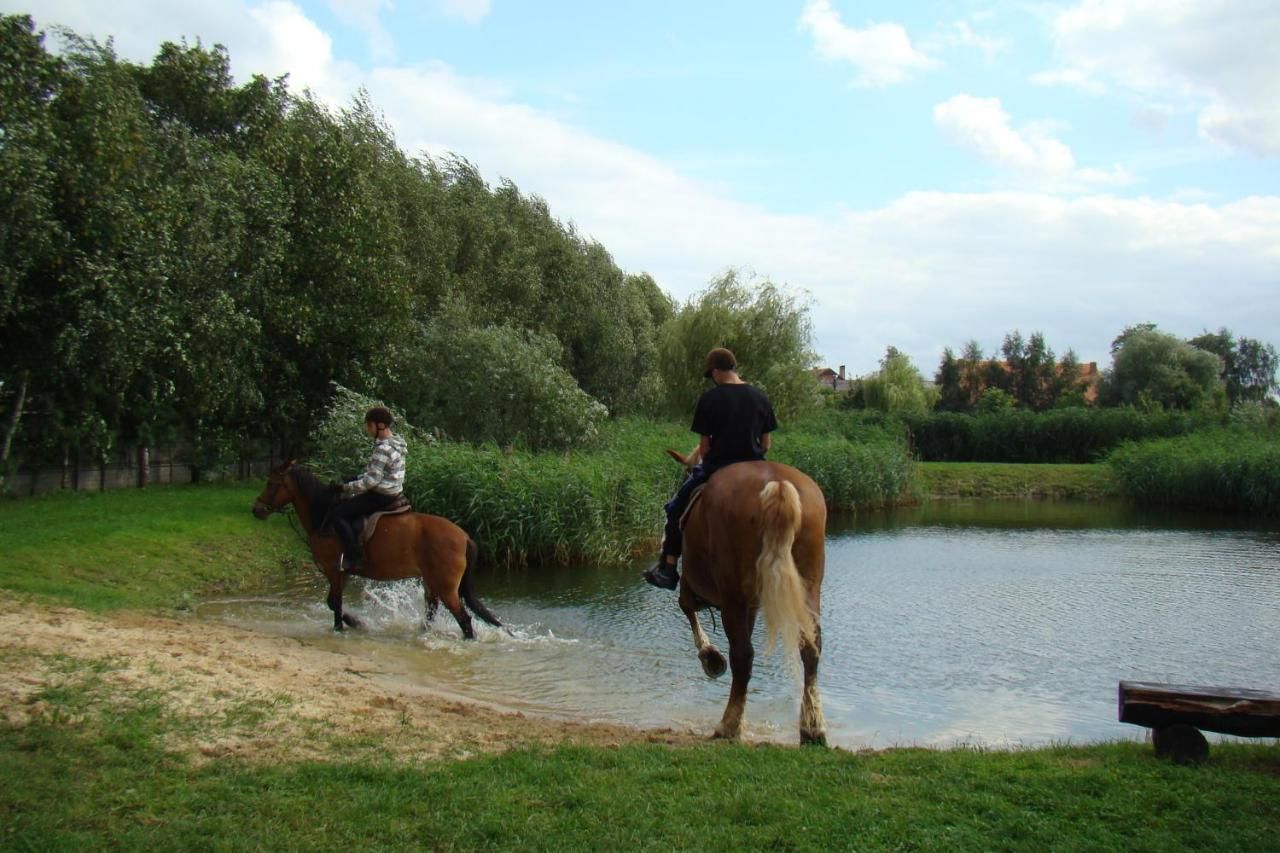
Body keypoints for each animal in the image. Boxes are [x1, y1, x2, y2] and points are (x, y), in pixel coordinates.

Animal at [252, 461, 501, 635]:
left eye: (271, 483)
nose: (257, 509)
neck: (324, 517)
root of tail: (464, 537)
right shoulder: (342, 573)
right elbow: (333, 603)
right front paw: (355, 622)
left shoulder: (334, 571)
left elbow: (336, 604)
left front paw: (348, 626)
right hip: (432, 583)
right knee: (431, 612)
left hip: (446, 587)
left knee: (464, 620)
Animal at [665, 448, 824, 742]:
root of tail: (778, 484)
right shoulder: (750, 606)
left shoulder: (693, 587)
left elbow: (687, 608)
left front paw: (711, 657)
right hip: (808, 588)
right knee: (810, 648)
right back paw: (812, 728)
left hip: (732, 597)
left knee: (742, 656)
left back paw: (728, 725)